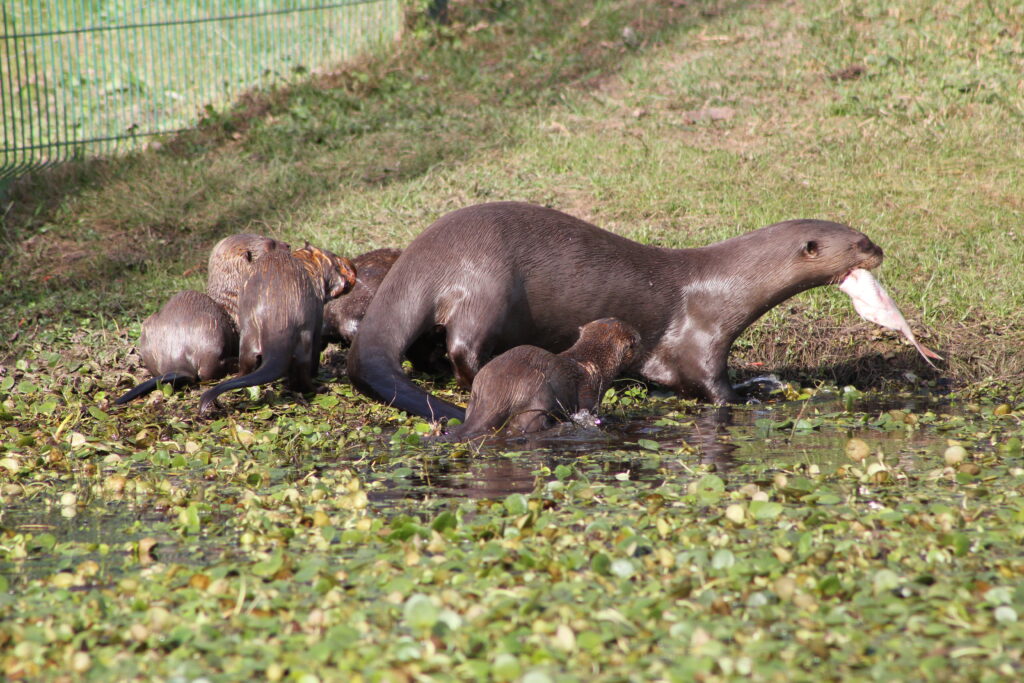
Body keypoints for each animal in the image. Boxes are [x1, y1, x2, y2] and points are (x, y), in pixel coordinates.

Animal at [198, 245, 356, 417]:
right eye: (337, 263)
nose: (352, 266)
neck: (310, 269)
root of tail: (278, 318)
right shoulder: (319, 309)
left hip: (248, 333)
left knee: (246, 365)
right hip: (304, 336)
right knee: (304, 373)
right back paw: (320, 388)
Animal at [348, 200, 884, 419]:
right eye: (860, 242)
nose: (881, 250)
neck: (726, 285)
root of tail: (424, 255)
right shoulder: (703, 337)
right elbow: (713, 386)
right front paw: (749, 397)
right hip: (487, 285)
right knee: (463, 343)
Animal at [448, 317, 638, 440]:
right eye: (638, 340)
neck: (594, 365)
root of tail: (499, 392)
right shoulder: (589, 396)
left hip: (473, 398)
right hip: (537, 399)